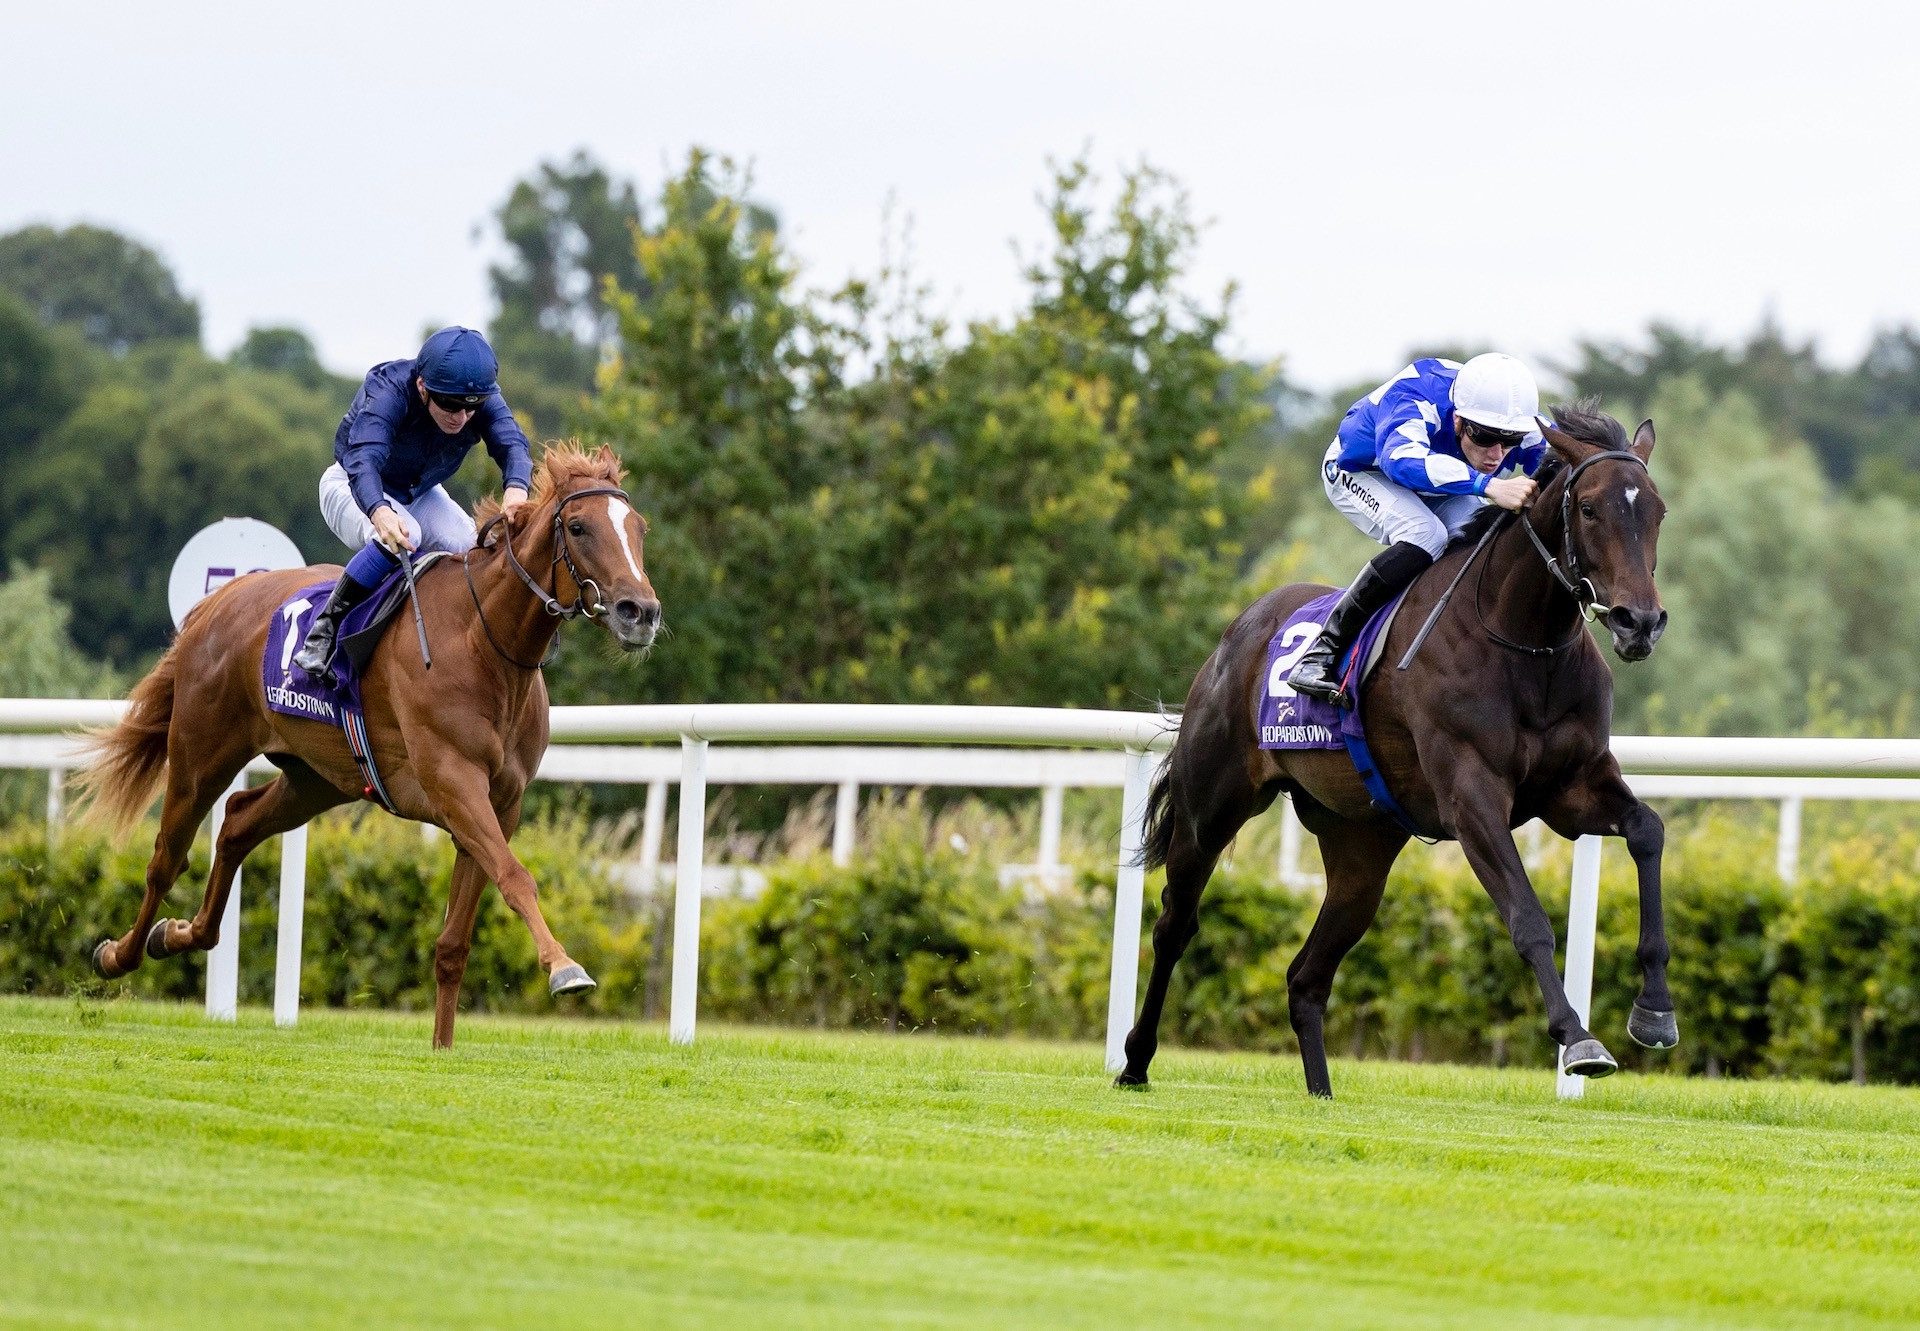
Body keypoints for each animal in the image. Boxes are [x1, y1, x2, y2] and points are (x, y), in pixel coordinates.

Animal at [76, 441, 660, 1044]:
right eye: (578, 527)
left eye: (638, 527)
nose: (640, 612)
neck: (483, 641)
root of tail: (221, 599)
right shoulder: (453, 783)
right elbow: (516, 877)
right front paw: (565, 968)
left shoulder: (501, 802)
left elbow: (455, 942)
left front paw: (442, 1048)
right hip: (201, 753)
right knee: (167, 857)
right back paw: (117, 954)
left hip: (316, 778)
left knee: (237, 822)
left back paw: (177, 934)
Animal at [1121, 405, 1674, 1090]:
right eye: (1591, 508)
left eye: (1657, 510)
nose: (1638, 622)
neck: (1523, 642)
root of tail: (1236, 634)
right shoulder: (1471, 798)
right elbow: (1526, 918)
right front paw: (1577, 1039)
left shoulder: (1572, 788)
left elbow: (1647, 830)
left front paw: (1654, 1011)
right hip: (1212, 807)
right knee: (1175, 924)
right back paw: (1134, 1061)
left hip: (1362, 843)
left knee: (1306, 977)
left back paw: (1321, 1093)